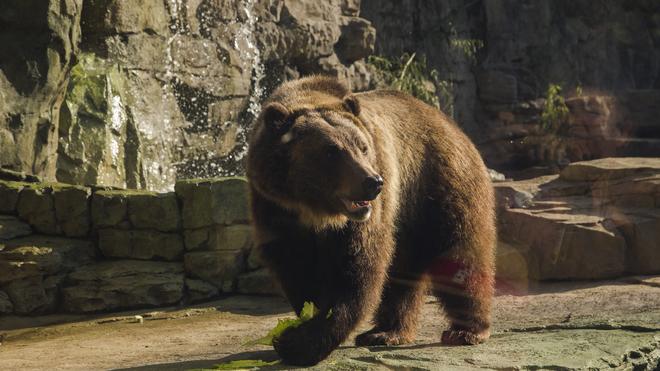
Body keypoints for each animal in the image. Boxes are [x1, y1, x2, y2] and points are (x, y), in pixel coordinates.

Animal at [248, 75, 496, 366]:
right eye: (331, 152)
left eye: (362, 147)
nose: (373, 182)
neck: (316, 212)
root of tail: (448, 121)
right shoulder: (276, 208)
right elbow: (297, 269)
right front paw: (301, 324)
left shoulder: (362, 220)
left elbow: (357, 270)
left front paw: (298, 342)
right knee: (403, 271)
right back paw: (387, 331)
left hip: (436, 187)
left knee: (459, 255)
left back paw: (466, 330)